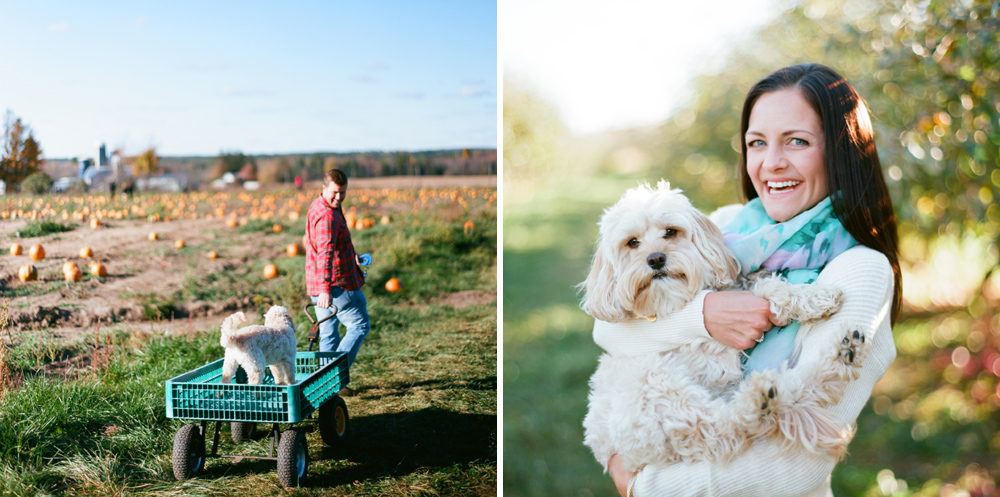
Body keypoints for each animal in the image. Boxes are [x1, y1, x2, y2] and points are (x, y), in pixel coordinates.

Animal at [580, 182, 868, 472]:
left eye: (671, 231)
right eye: (632, 242)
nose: (655, 259)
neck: (672, 302)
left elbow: (769, 288)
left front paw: (814, 297)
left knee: (792, 391)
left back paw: (844, 353)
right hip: (657, 386)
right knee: (729, 429)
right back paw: (759, 401)